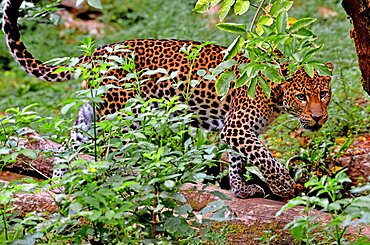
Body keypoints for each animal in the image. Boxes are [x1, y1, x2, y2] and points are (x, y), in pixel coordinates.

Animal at [2, 0, 332, 198]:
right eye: (302, 96)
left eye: (324, 94)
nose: (319, 118)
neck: (276, 97)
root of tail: (96, 52)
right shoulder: (237, 127)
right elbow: (265, 157)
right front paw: (284, 185)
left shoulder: (239, 130)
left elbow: (239, 160)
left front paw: (241, 189)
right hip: (119, 114)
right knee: (107, 151)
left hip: (91, 112)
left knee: (68, 145)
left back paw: (61, 185)